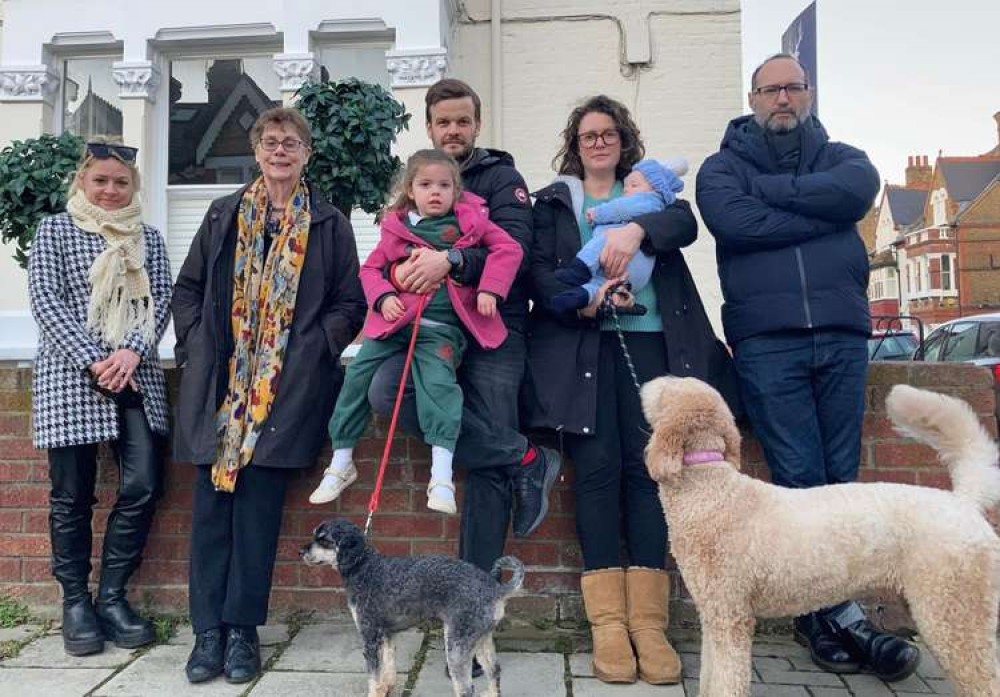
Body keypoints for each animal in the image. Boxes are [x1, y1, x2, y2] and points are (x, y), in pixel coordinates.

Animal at [302, 516, 524, 696]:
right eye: (314, 534)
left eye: (323, 539)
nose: (300, 551)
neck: (364, 567)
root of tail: (494, 589)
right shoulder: (387, 634)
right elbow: (388, 668)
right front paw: (387, 688)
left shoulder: (370, 637)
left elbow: (374, 678)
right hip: (482, 640)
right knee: (494, 671)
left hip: (456, 646)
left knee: (466, 689)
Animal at [640, 376, 1000, 696]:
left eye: (666, 387)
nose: (645, 384)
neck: (710, 490)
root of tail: (963, 501)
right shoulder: (715, 613)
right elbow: (710, 675)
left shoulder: (732, 615)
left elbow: (728, 680)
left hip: (954, 609)